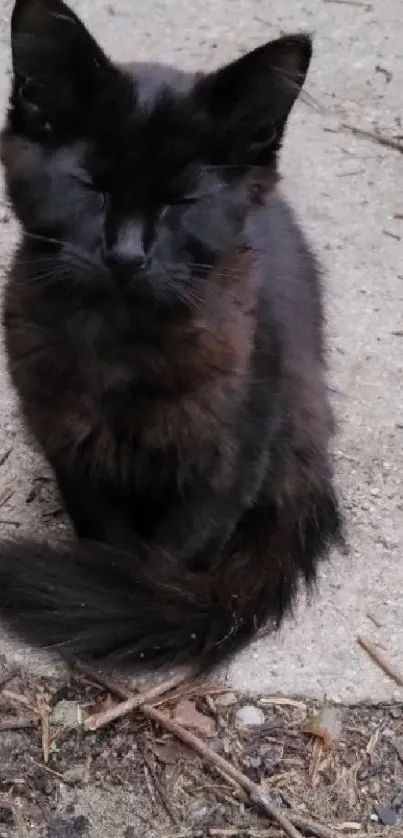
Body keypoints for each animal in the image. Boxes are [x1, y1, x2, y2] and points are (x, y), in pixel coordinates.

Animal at [0, 0, 344, 672]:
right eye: (90, 185)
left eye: (181, 200)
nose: (126, 255)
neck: (121, 348)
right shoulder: (72, 448)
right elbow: (109, 534)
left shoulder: (232, 458)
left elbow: (175, 555)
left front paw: (148, 602)